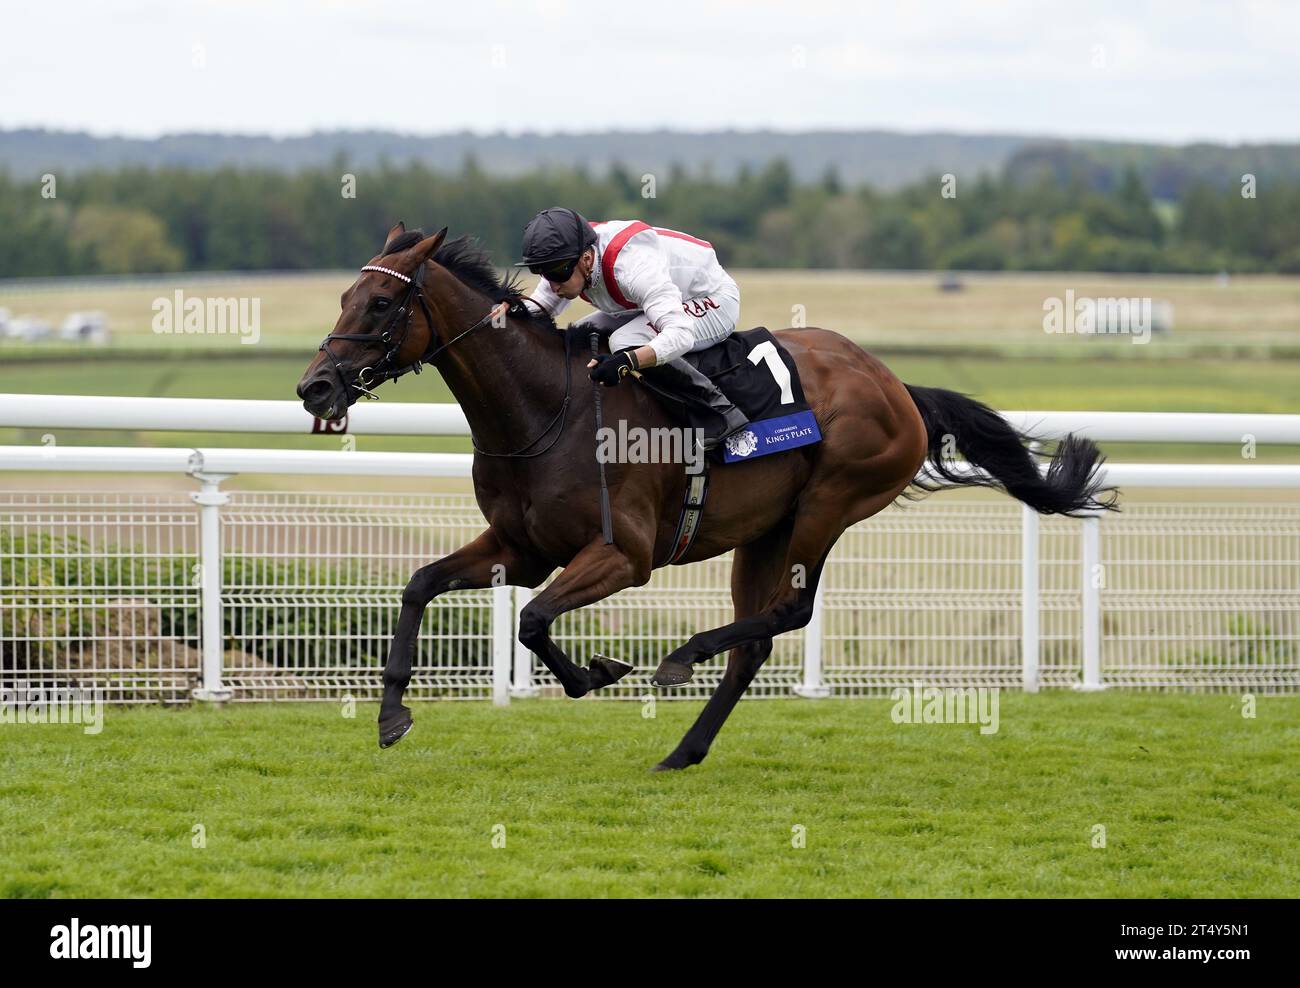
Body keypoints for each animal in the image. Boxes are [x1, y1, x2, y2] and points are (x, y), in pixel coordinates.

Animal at [297, 223, 1118, 769]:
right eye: (343, 295)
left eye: (380, 305)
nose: (316, 387)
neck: (545, 409)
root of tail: (897, 387)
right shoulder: (519, 548)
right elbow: (420, 585)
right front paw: (392, 715)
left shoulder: (622, 556)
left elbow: (532, 620)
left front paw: (597, 673)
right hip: (766, 530)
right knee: (755, 641)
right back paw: (684, 750)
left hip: (829, 505)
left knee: (789, 612)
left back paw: (681, 659)